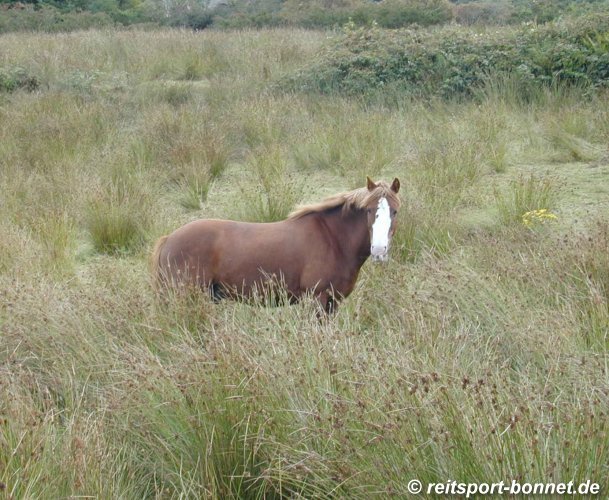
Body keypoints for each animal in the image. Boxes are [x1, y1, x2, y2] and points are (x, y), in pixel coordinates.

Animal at [151, 177, 400, 312]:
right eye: (369, 210)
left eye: (395, 211)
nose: (379, 250)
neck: (333, 238)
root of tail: (168, 239)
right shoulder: (316, 299)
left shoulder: (332, 302)